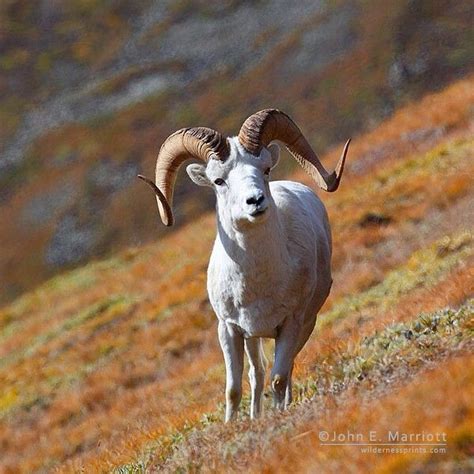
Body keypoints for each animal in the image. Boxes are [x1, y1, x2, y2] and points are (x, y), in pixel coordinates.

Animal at [139, 109, 350, 420]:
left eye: (265, 169)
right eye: (218, 180)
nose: (256, 201)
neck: (255, 284)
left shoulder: (291, 323)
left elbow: (279, 378)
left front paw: (279, 415)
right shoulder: (230, 330)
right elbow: (234, 389)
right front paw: (234, 425)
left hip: (304, 325)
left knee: (284, 369)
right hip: (253, 338)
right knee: (256, 374)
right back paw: (254, 416)